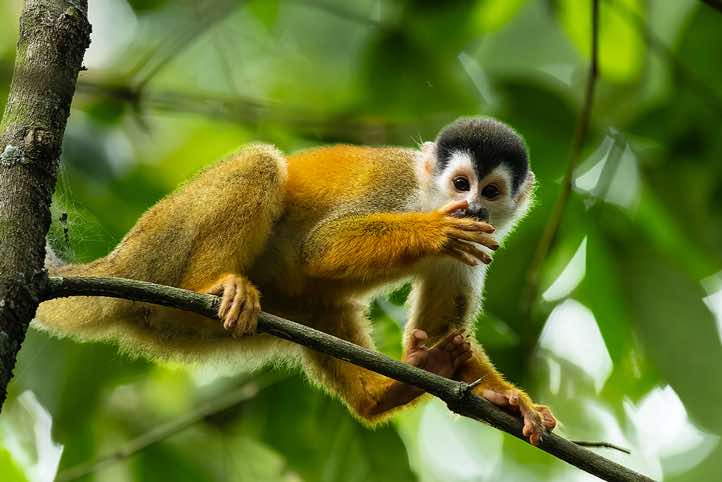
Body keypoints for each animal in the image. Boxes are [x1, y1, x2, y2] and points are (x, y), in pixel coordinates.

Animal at [35, 116, 557, 444]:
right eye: (461, 184)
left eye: (491, 192)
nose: (472, 208)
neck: (430, 195)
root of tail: (118, 263)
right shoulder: (399, 189)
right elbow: (322, 247)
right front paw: (436, 232)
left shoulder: (480, 245)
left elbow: (443, 326)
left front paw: (506, 398)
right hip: (161, 246)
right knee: (260, 165)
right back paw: (210, 287)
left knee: (320, 308)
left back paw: (381, 394)